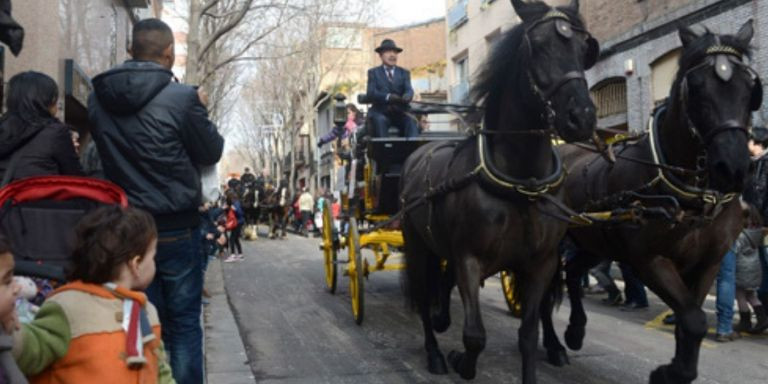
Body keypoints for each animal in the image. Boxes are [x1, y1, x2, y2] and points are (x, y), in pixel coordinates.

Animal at [400, 1, 604, 382]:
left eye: (585, 48)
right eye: (536, 47)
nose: (582, 117)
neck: (521, 183)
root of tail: (419, 152)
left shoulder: (542, 263)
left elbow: (528, 333)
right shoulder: (468, 258)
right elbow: (474, 336)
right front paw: (459, 360)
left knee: (441, 286)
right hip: (417, 243)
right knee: (421, 294)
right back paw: (434, 352)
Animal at [540, 21, 760, 384]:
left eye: (752, 88)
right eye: (696, 87)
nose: (733, 169)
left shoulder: (708, 262)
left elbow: (690, 321)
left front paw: (679, 369)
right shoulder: (649, 259)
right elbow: (694, 320)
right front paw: (669, 372)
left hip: (595, 240)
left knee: (572, 273)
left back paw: (575, 331)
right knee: (544, 288)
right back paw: (554, 344)